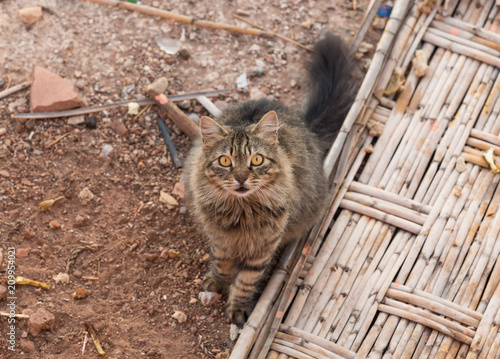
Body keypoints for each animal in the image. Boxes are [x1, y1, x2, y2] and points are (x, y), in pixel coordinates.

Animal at [184, 35, 356, 328]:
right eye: (225, 161)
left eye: (256, 160)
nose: (241, 178)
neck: (241, 212)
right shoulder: (220, 240)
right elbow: (221, 264)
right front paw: (216, 283)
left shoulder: (262, 249)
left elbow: (245, 281)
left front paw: (238, 308)